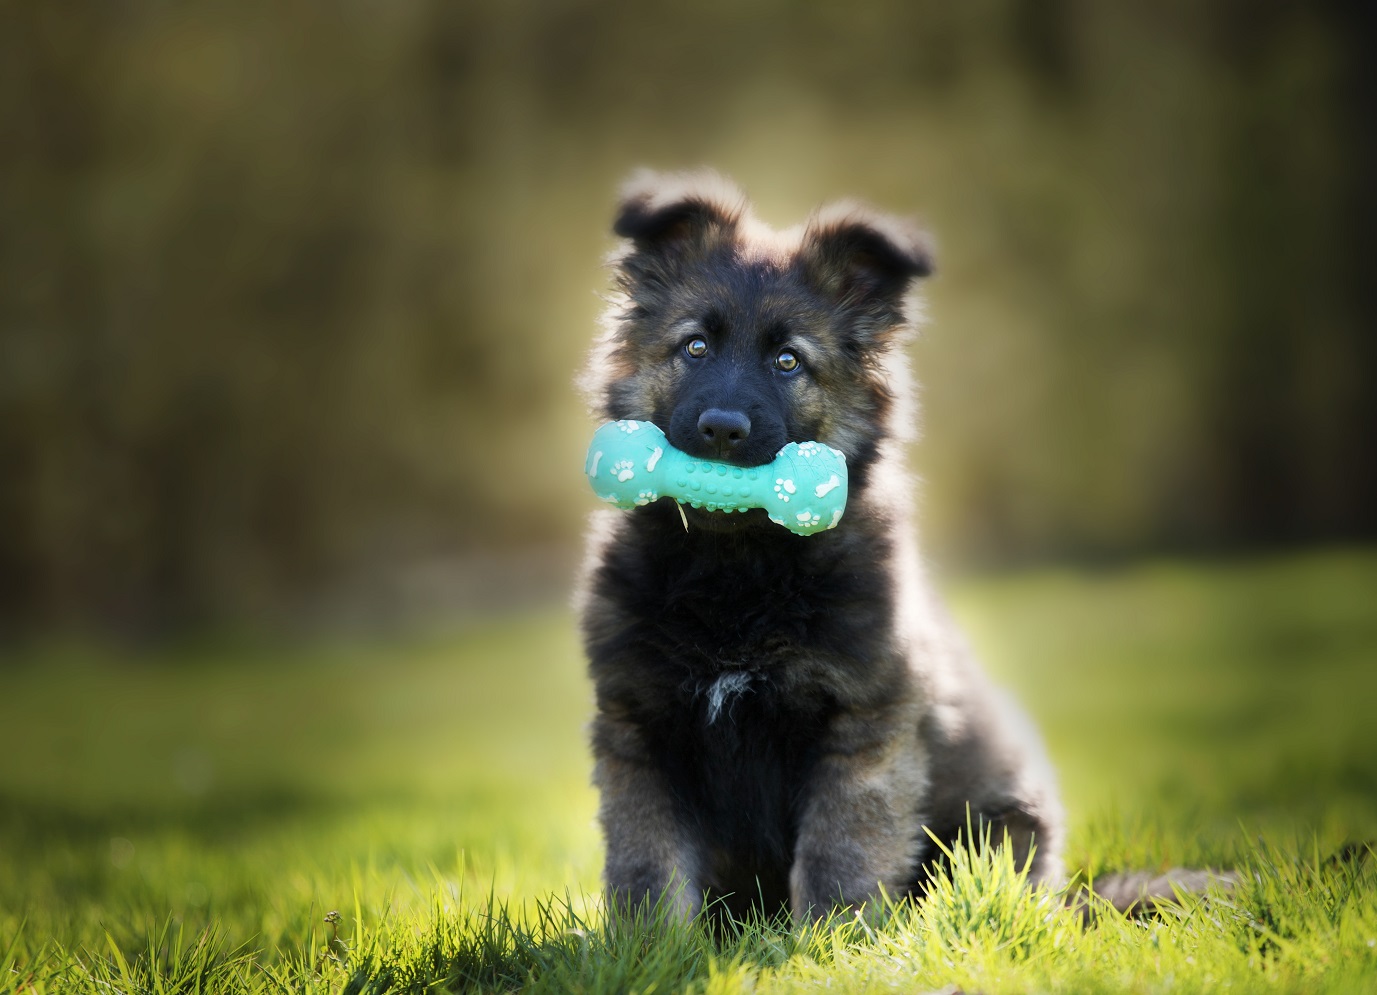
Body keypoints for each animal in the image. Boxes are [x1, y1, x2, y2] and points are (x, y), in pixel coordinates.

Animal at [575, 171, 1057, 924]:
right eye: (694, 347)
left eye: (787, 361)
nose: (721, 430)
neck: (735, 573)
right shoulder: (638, 725)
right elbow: (646, 865)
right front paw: (650, 944)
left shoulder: (863, 727)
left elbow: (841, 852)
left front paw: (829, 937)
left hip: (1006, 824)